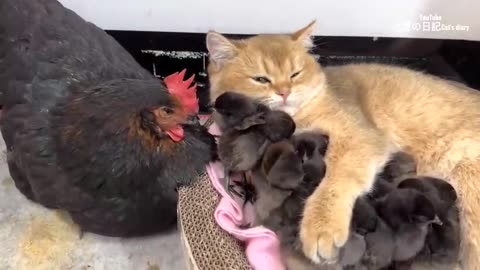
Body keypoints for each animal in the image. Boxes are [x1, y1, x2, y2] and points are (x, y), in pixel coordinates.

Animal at [207, 21, 480, 270]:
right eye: (260, 79)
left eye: (295, 74)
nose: (284, 92)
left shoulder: (360, 139)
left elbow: (336, 180)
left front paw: (321, 226)